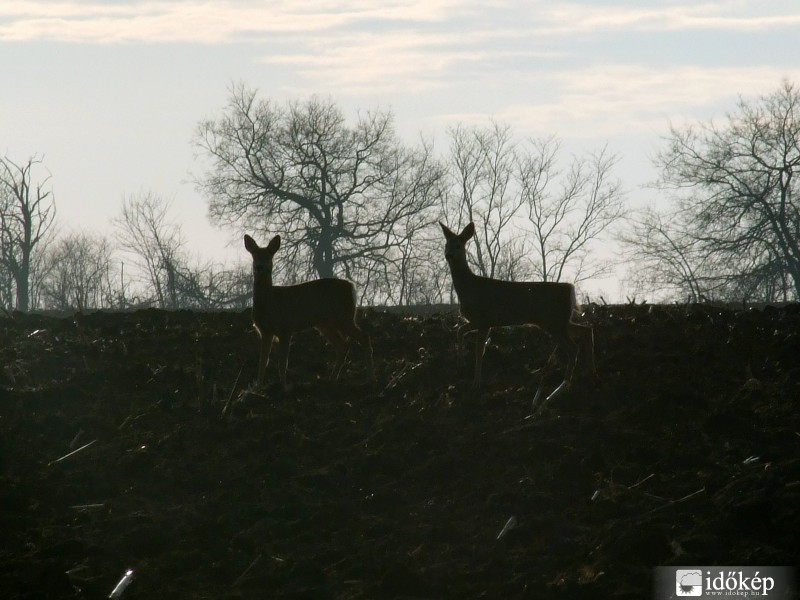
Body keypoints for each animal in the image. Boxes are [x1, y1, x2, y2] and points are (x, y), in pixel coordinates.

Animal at [244, 232, 376, 392]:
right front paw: (258, 387)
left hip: (345, 317)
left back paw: (369, 379)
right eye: (254, 256)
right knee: (343, 345)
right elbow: (263, 361)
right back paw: (332, 380)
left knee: (364, 337)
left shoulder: (286, 327)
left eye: (269, 257)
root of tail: (352, 287)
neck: (269, 303)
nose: (259, 267)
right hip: (326, 324)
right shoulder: (265, 331)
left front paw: (284, 387)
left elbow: (283, 361)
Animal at [440, 223, 592, 392]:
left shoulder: (484, 319)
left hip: (554, 322)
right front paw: (461, 364)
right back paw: (587, 372)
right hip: (559, 321)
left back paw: (564, 384)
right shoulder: (478, 321)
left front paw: (476, 383)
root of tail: (571, 289)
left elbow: (479, 351)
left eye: (458, 245)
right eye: (446, 245)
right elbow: (460, 331)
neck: (468, 288)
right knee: (587, 330)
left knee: (573, 348)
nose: (448, 255)